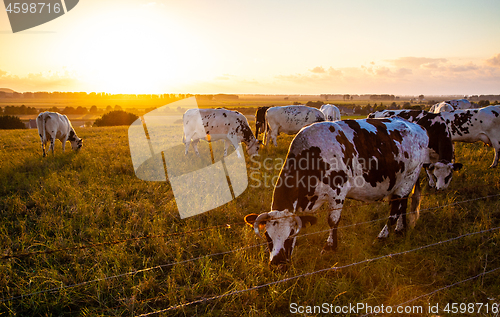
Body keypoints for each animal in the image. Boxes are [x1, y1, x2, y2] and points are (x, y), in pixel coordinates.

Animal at [244, 117, 462, 266]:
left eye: (290, 235)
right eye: (267, 236)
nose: (277, 263)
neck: (313, 154)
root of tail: (418, 126)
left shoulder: (338, 191)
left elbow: (332, 221)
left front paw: (330, 248)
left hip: (409, 177)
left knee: (394, 209)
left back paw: (382, 237)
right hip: (403, 181)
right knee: (403, 204)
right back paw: (401, 229)